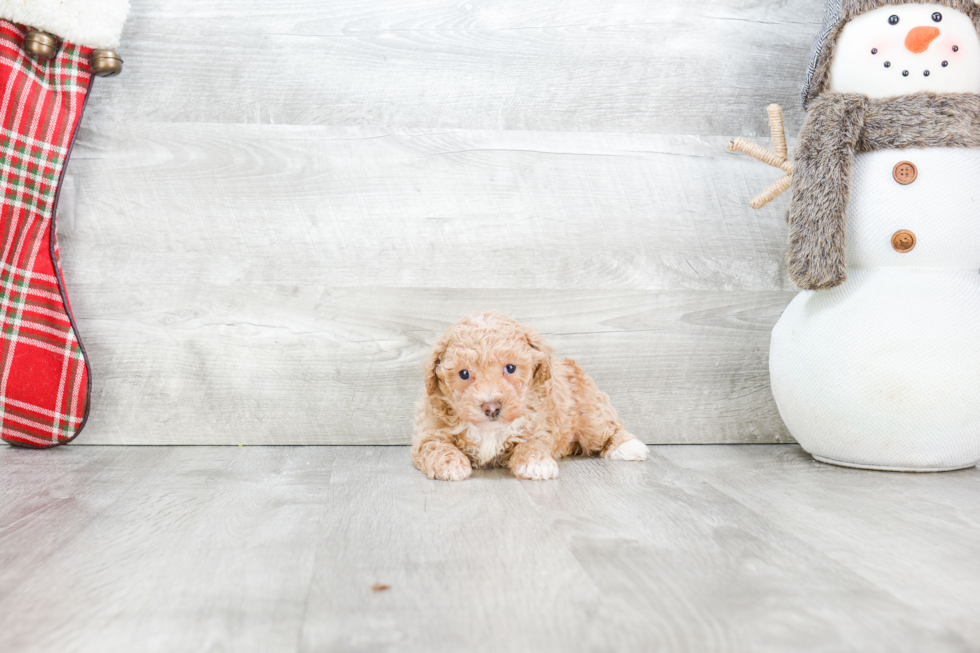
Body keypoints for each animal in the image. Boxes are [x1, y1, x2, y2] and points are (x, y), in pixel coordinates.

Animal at [412, 310, 648, 478]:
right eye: (464, 374)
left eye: (510, 368)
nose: (491, 407)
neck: (489, 430)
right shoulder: (429, 432)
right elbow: (436, 445)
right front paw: (450, 464)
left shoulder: (537, 427)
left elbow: (532, 443)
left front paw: (537, 463)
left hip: (589, 412)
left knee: (607, 429)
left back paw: (628, 446)